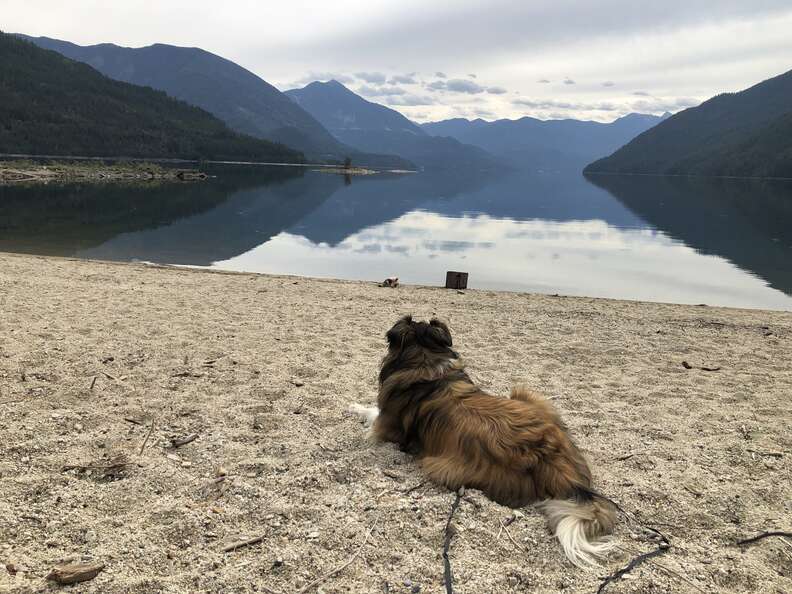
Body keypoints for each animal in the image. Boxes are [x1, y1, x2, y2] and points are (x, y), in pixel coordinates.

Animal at [352, 314, 620, 564]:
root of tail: (552, 460)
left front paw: (354, 407)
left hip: (439, 465)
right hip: (526, 396)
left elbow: (371, 414)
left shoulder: (384, 427)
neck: (425, 360)